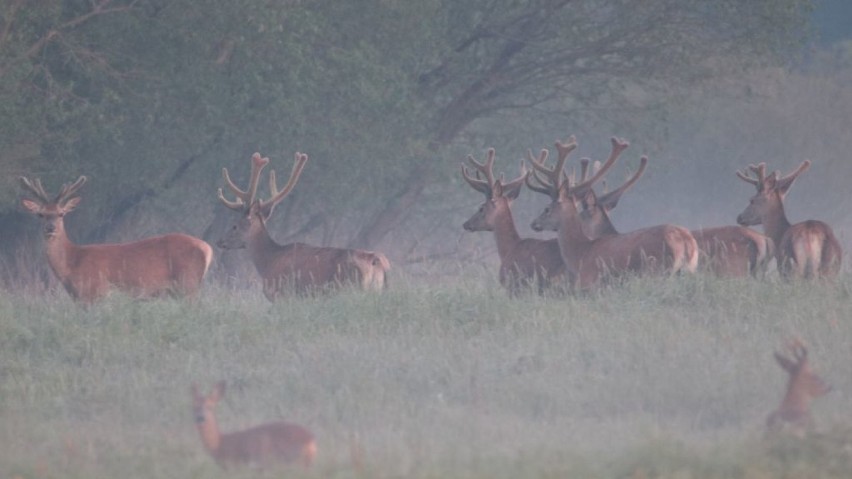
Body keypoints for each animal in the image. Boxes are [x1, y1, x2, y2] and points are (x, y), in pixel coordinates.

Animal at [18, 176, 213, 304]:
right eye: (40, 214)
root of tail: (207, 248)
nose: (50, 228)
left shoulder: (95, 292)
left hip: (188, 282)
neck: (72, 263)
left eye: (61, 213)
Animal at [220, 152, 392, 300]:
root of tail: (378, 262)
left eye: (235, 226)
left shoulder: (282, 294)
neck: (269, 261)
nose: (219, 242)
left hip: (353, 288)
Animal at [524, 137, 700, 290]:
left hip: (657, 270)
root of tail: (685, 241)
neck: (581, 253)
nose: (533, 223)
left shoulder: (590, 283)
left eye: (547, 208)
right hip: (689, 269)